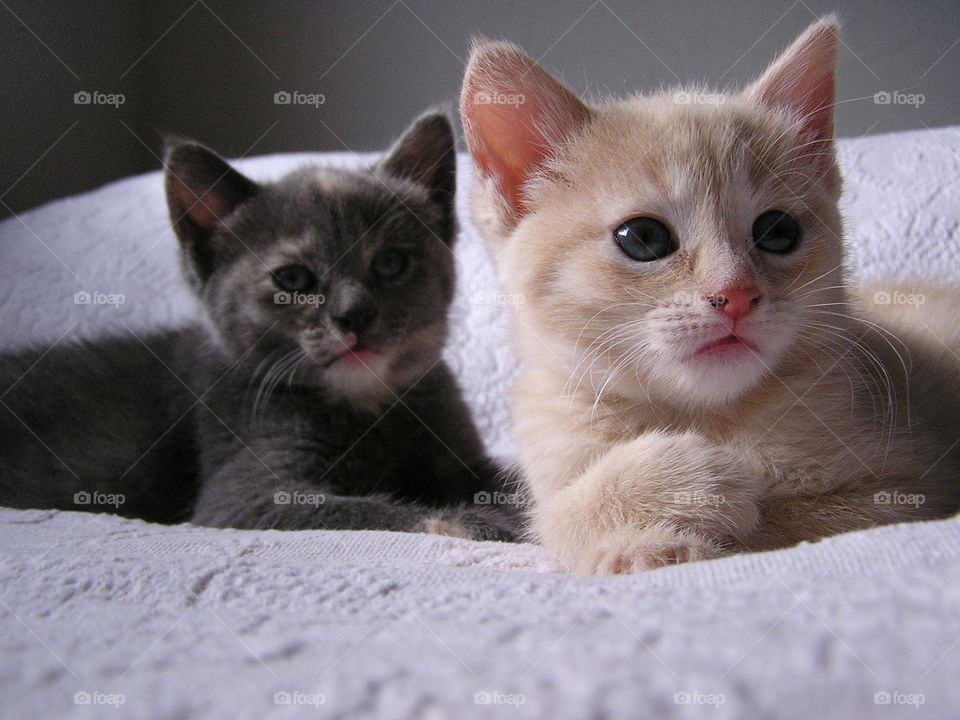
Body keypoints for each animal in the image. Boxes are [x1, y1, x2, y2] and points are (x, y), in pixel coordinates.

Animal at [0, 114, 516, 540]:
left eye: (391, 264)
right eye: (292, 279)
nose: (353, 314)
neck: (364, 406)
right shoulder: (242, 490)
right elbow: (370, 510)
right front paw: (477, 521)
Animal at [458, 18, 960, 572]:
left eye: (778, 232)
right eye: (643, 238)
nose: (736, 294)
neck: (697, 415)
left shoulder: (909, 490)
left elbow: (790, 519)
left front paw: (691, 504)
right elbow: (554, 517)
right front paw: (673, 495)